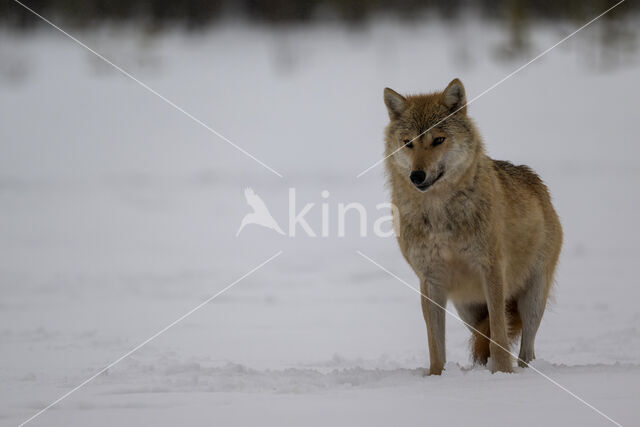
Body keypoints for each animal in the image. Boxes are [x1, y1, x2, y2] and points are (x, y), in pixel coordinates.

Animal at [384, 80, 560, 374]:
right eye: (408, 143)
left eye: (438, 140)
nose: (417, 176)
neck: (439, 215)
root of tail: (538, 183)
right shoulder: (429, 281)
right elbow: (435, 345)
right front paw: (437, 376)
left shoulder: (492, 270)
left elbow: (499, 336)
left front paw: (502, 373)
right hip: (467, 309)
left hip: (532, 299)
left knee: (526, 350)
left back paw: (521, 371)